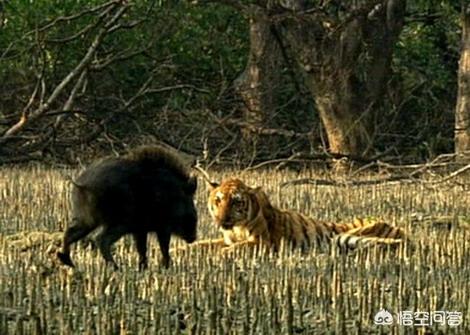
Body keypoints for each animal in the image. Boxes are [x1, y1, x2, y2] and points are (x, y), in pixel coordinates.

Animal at [196, 178, 406, 252]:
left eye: (236, 201)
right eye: (218, 200)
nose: (222, 219)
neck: (236, 228)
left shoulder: (264, 242)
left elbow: (233, 249)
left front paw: (218, 256)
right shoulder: (225, 239)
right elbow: (203, 244)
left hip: (345, 234)